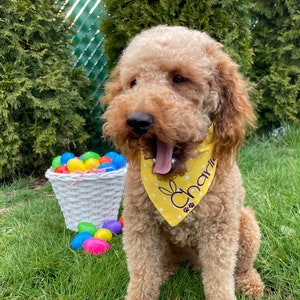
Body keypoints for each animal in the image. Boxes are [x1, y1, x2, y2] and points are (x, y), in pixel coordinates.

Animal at [103, 25, 264, 300]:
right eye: (133, 82)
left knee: (242, 266)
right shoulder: (140, 226)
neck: (179, 179)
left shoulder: (218, 231)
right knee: (165, 264)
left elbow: (220, 279)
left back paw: (250, 283)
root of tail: (193, 263)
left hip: (246, 225)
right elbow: (142, 274)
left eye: (179, 78)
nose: (136, 121)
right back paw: (165, 272)